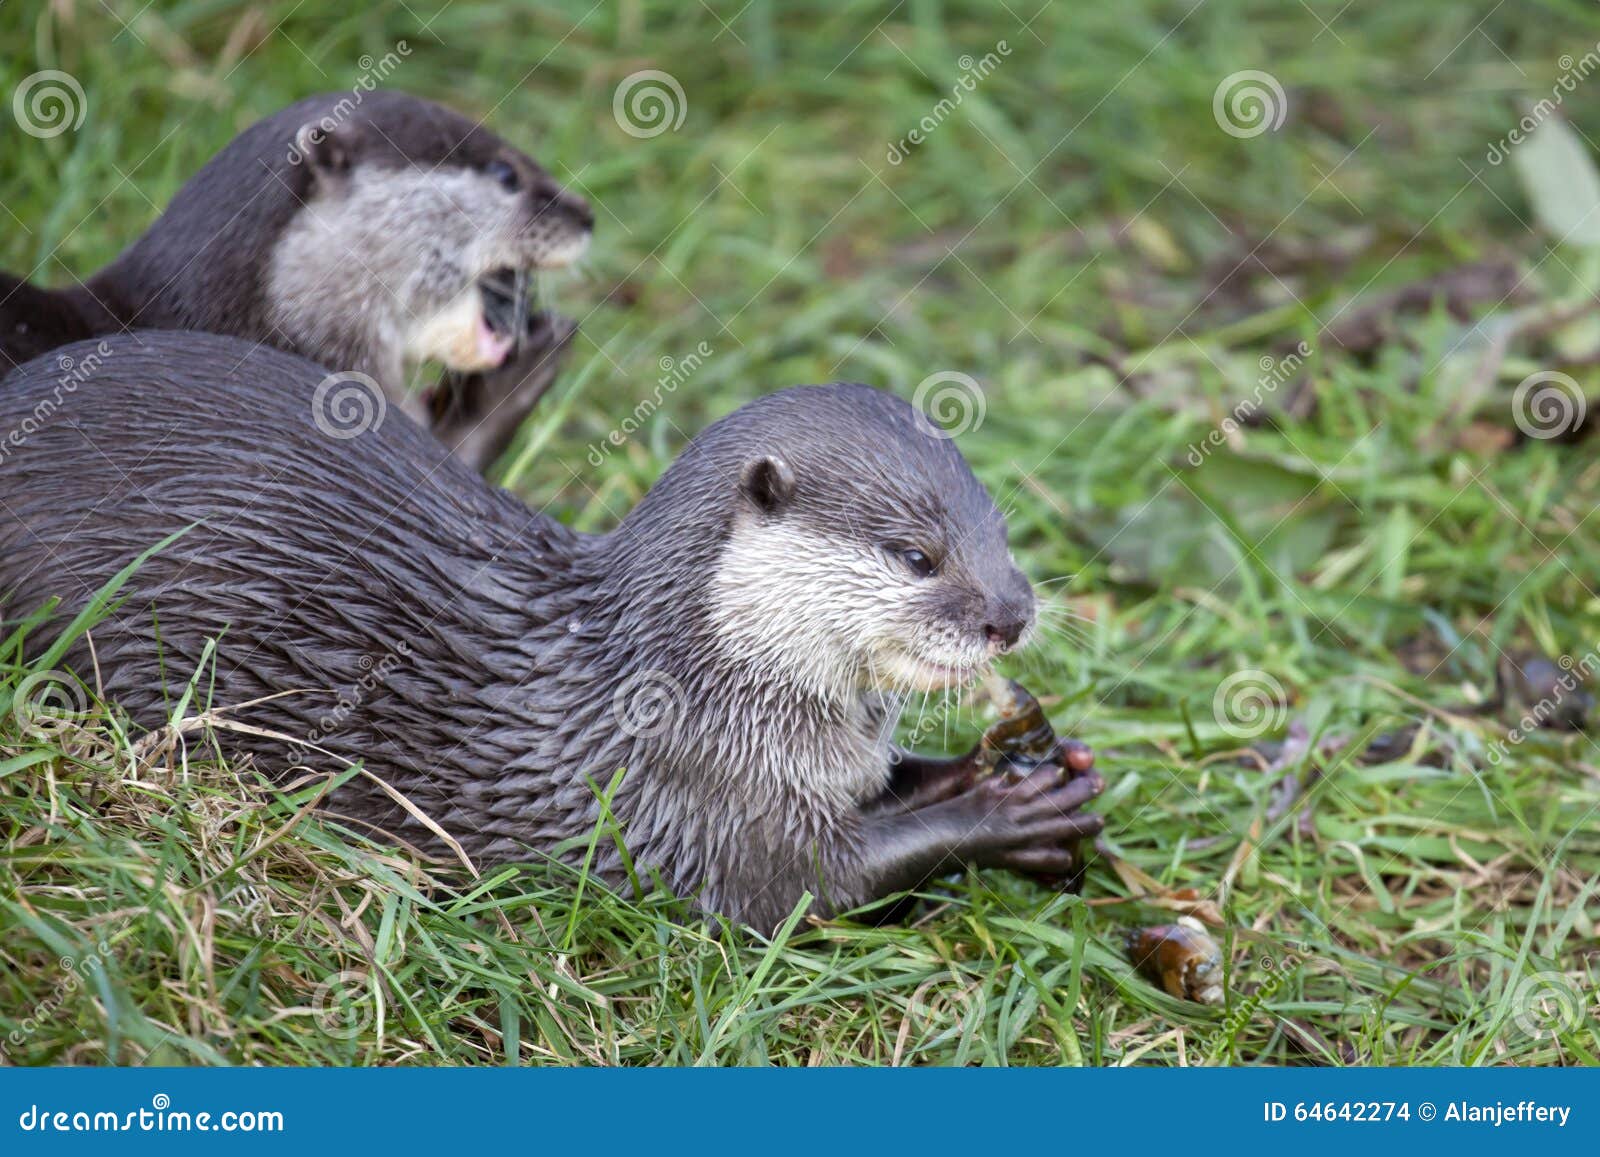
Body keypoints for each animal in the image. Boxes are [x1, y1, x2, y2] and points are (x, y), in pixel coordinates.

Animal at [0, 333, 1105, 930]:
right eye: (916, 554)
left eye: (1001, 532)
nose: (1011, 614)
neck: (694, 686)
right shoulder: (692, 800)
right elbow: (821, 885)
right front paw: (1012, 815)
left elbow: (898, 785)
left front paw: (1009, 765)